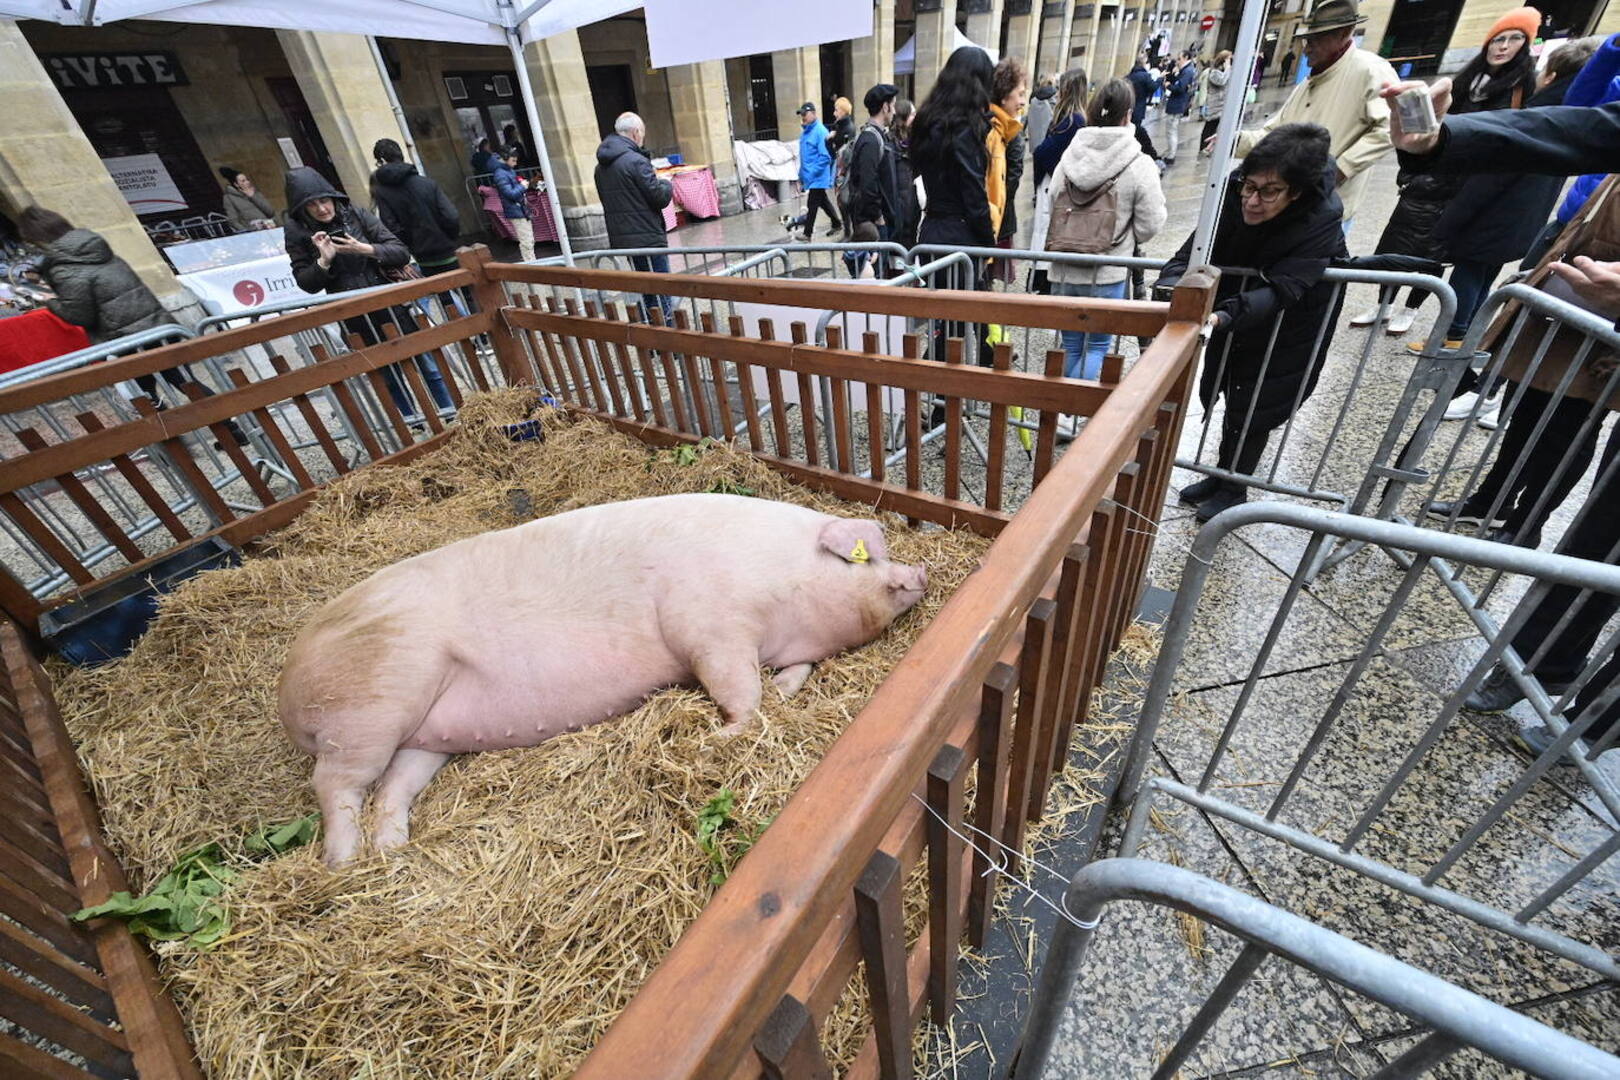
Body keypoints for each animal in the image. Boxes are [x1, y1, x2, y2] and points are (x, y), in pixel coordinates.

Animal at [281, 495, 926, 867]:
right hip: (367, 705)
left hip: (426, 734)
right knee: (333, 785)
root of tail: (288, 685)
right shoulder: (708, 626)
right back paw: (343, 861)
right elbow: (738, 692)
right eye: (869, 555)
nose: (918, 571)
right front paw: (717, 739)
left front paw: (782, 694)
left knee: (394, 786)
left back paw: (392, 850)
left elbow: (792, 675)